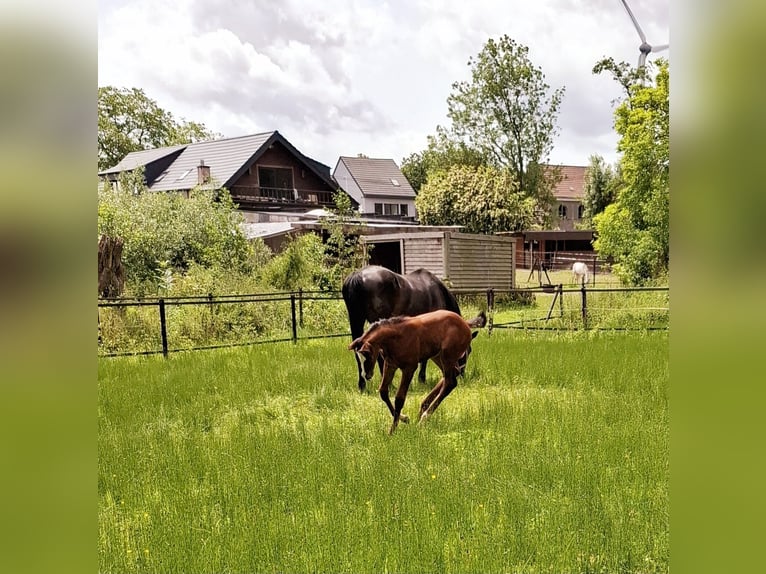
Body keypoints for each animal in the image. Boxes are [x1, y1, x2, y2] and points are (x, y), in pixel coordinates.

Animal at [348, 309, 487, 434]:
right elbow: (383, 392)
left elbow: (399, 398)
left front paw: (392, 431)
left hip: (447, 356)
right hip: (438, 356)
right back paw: (423, 408)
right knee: (453, 373)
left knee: (450, 382)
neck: (396, 337)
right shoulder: (390, 365)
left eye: (367, 356)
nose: (367, 375)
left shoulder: (409, 368)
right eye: (358, 359)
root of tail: (465, 323)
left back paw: (424, 418)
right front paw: (404, 418)